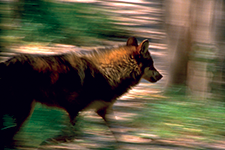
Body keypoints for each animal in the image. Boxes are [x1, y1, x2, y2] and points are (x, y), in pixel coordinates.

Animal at [0, 36, 162, 146]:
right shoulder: (73, 110)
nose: (161, 76)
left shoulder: (103, 111)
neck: (108, 73)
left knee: (10, 134)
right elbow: (72, 135)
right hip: (23, 112)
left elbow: (119, 136)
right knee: (10, 134)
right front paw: (48, 142)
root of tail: (5, 64)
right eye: (152, 64)